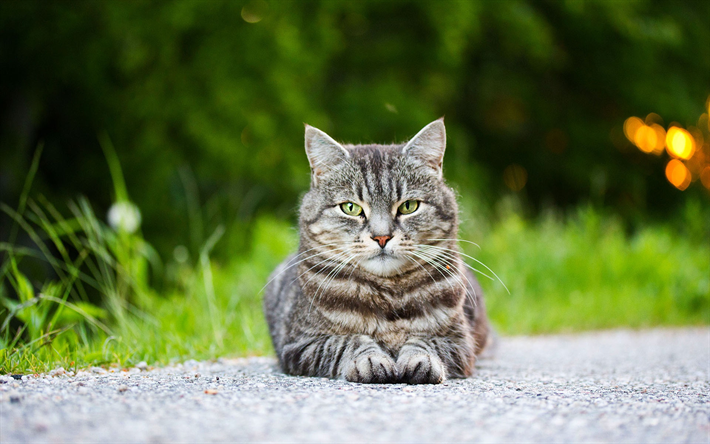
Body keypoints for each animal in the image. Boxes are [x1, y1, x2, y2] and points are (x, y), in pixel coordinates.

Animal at [264, 119, 492, 386]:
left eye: (409, 206)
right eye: (350, 208)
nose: (381, 236)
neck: (389, 296)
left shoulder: (459, 343)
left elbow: (426, 342)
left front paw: (419, 359)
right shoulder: (301, 343)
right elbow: (348, 342)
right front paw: (370, 360)